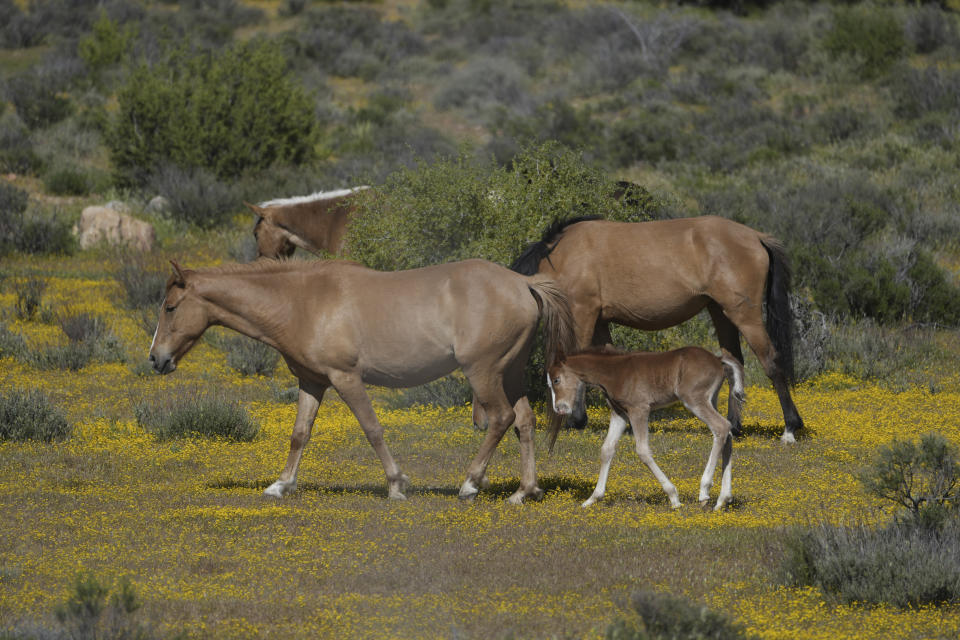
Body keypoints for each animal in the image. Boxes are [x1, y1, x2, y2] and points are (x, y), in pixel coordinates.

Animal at [146, 258, 572, 502]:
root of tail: (522, 284)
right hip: (510, 372)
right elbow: (300, 434)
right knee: (524, 421)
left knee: (501, 419)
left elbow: (372, 429)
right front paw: (281, 485)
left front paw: (396, 484)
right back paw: (524, 491)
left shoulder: (346, 378)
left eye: (170, 308)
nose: (155, 359)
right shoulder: (313, 382)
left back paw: (470, 484)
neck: (302, 301)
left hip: (483, 372)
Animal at [510, 215, 804, 444]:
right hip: (721, 313)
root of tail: (756, 237)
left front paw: (577, 420)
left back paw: (790, 428)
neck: (562, 255)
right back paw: (735, 426)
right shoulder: (601, 322)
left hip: (744, 315)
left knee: (771, 362)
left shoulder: (583, 313)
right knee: (734, 364)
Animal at [548, 344, 744, 510]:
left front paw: (674, 498)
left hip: (694, 399)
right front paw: (592, 498)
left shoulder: (639, 409)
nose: (559, 408)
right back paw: (722, 499)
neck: (614, 372)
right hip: (710, 399)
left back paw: (704, 491)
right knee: (727, 431)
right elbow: (606, 450)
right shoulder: (620, 414)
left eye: (556, 380)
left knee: (721, 427)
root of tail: (718, 359)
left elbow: (642, 451)